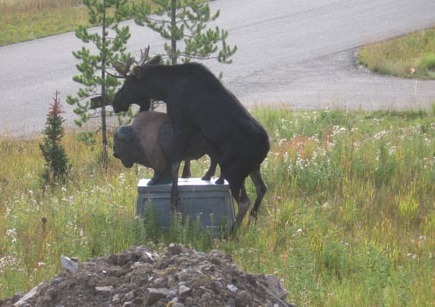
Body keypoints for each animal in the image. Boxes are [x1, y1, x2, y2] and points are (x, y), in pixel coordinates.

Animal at [112, 47, 270, 230]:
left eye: (127, 83)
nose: (115, 102)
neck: (165, 89)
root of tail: (266, 147)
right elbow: (186, 160)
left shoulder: (181, 123)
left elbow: (175, 162)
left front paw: (174, 199)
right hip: (252, 167)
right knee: (261, 188)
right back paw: (252, 220)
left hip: (234, 170)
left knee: (244, 202)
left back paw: (231, 232)